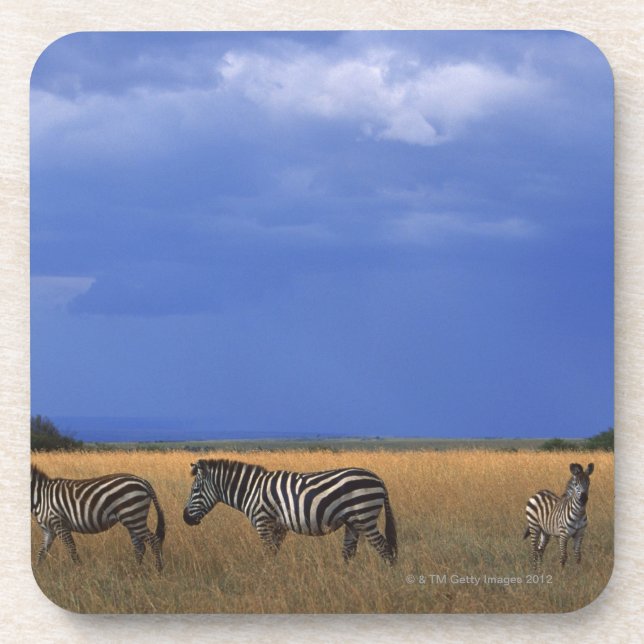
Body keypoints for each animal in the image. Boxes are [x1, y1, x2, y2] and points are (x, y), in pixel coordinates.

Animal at [31, 465, 166, 571]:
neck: (41, 497)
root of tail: (142, 481)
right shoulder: (49, 530)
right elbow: (41, 553)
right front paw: (38, 574)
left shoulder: (59, 524)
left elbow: (71, 549)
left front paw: (80, 572)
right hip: (133, 519)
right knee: (139, 546)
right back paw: (135, 572)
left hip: (133, 516)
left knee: (154, 541)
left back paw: (158, 571)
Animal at [183, 459, 397, 564]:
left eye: (195, 490)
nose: (185, 518)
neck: (252, 490)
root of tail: (379, 479)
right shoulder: (279, 526)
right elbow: (274, 552)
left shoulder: (263, 522)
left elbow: (268, 554)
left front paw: (268, 579)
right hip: (353, 521)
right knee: (348, 553)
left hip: (364, 516)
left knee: (385, 549)